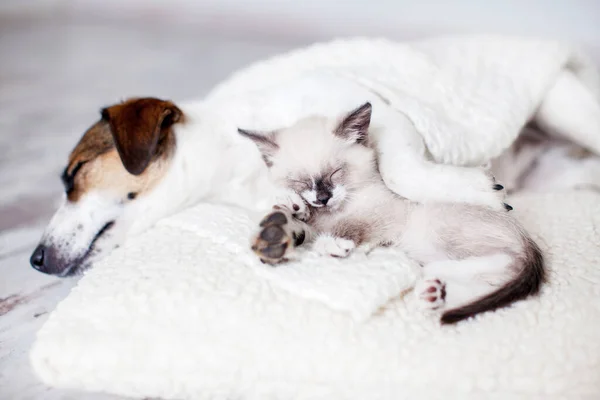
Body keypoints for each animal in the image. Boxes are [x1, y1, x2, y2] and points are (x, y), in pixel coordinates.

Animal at [238, 101, 544, 324]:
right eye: (300, 181)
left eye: (336, 172)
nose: (323, 198)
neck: (332, 211)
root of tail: (528, 240)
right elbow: (297, 221)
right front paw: (287, 212)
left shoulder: (383, 213)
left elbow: (353, 226)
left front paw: (333, 243)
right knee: (488, 287)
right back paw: (435, 294)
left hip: (434, 228)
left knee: (508, 262)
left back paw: (434, 283)